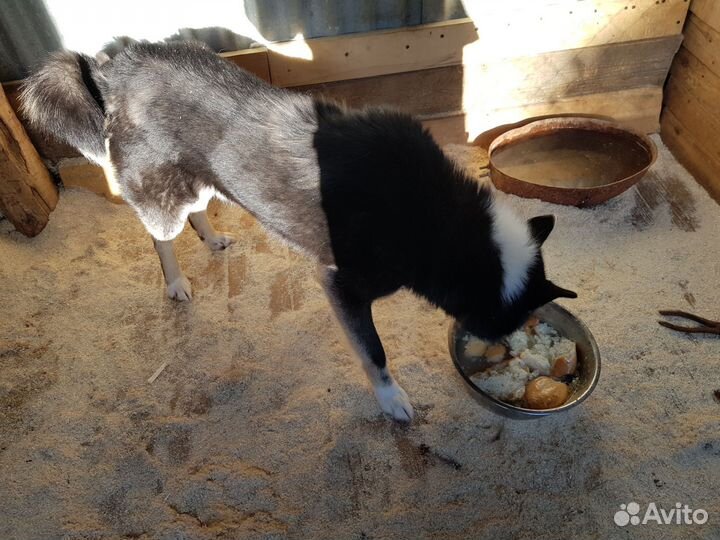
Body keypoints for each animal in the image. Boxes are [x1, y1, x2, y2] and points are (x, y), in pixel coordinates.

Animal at [19, 41, 576, 422]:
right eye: (506, 325)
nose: (507, 353)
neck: (447, 227)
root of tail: (115, 68)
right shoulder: (343, 286)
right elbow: (375, 353)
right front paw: (391, 398)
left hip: (204, 180)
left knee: (197, 210)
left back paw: (212, 238)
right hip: (161, 192)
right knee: (160, 234)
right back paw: (175, 281)